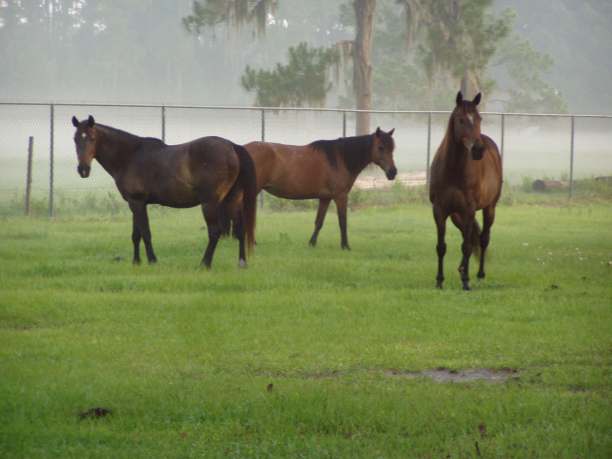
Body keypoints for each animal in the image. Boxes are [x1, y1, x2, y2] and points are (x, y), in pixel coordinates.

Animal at [244, 128, 396, 252]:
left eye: (393, 148)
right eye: (381, 147)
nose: (393, 172)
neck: (340, 159)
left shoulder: (325, 198)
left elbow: (319, 222)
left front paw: (312, 243)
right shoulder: (341, 196)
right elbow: (343, 221)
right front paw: (345, 246)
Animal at [430, 91, 502, 290]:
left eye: (479, 118)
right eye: (461, 120)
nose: (478, 150)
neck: (453, 170)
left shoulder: (469, 210)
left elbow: (468, 246)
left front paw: (466, 282)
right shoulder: (440, 211)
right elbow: (441, 246)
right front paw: (439, 281)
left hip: (489, 208)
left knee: (483, 239)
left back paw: (478, 274)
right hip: (456, 215)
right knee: (466, 235)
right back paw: (462, 268)